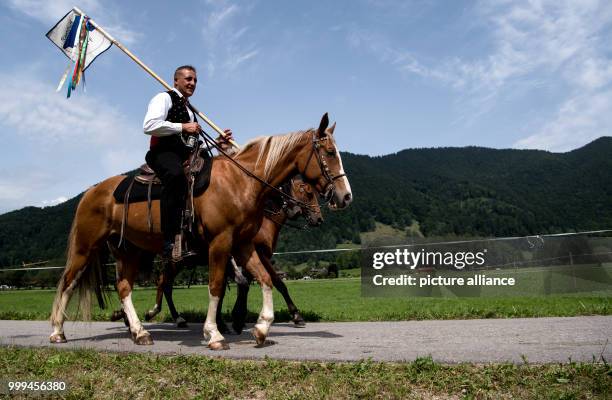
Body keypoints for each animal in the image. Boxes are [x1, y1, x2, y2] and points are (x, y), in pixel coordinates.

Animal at [50, 112, 352, 350]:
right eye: (329, 153)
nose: (345, 196)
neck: (240, 181)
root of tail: (90, 192)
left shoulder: (243, 245)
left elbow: (266, 280)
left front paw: (260, 327)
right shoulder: (221, 244)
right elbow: (218, 286)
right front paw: (215, 333)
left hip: (128, 251)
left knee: (125, 286)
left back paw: (139, 331)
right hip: (85, 248)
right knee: (68, 282)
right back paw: (58, 331)